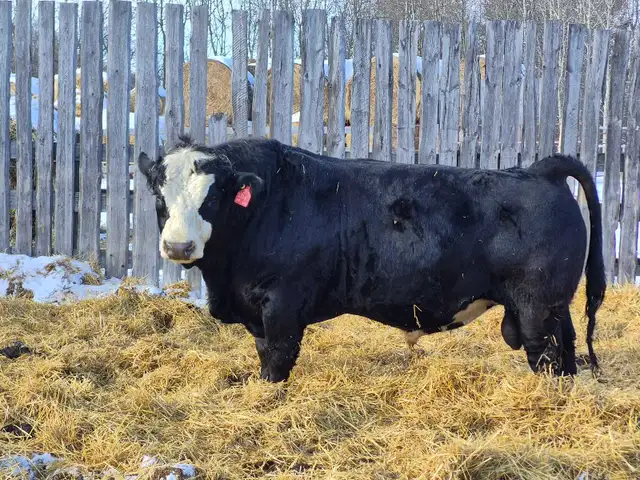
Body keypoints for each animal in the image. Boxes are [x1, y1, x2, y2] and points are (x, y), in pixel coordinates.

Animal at [138, 136, 606, 383]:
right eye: (158, 196)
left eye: (213, 197)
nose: (178, 247)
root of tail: (539, 170)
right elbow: (263, 353)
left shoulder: (283, 305)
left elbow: (277, 361)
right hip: (555, 305)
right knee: (567, 347)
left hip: (535, 307)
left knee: (545, 356)